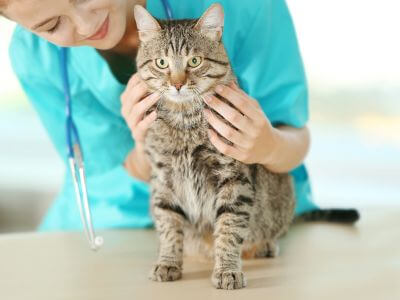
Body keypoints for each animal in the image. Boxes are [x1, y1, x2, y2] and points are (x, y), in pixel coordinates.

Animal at [133, 1, 296, 288]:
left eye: (194, 61)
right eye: (162, 63)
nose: (177, 84)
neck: (184, 121)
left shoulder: (233, 179)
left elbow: (229, 229)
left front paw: (227, 269)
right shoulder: (163, 179)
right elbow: (168, 225)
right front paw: (168, 262)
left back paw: (264, 246)